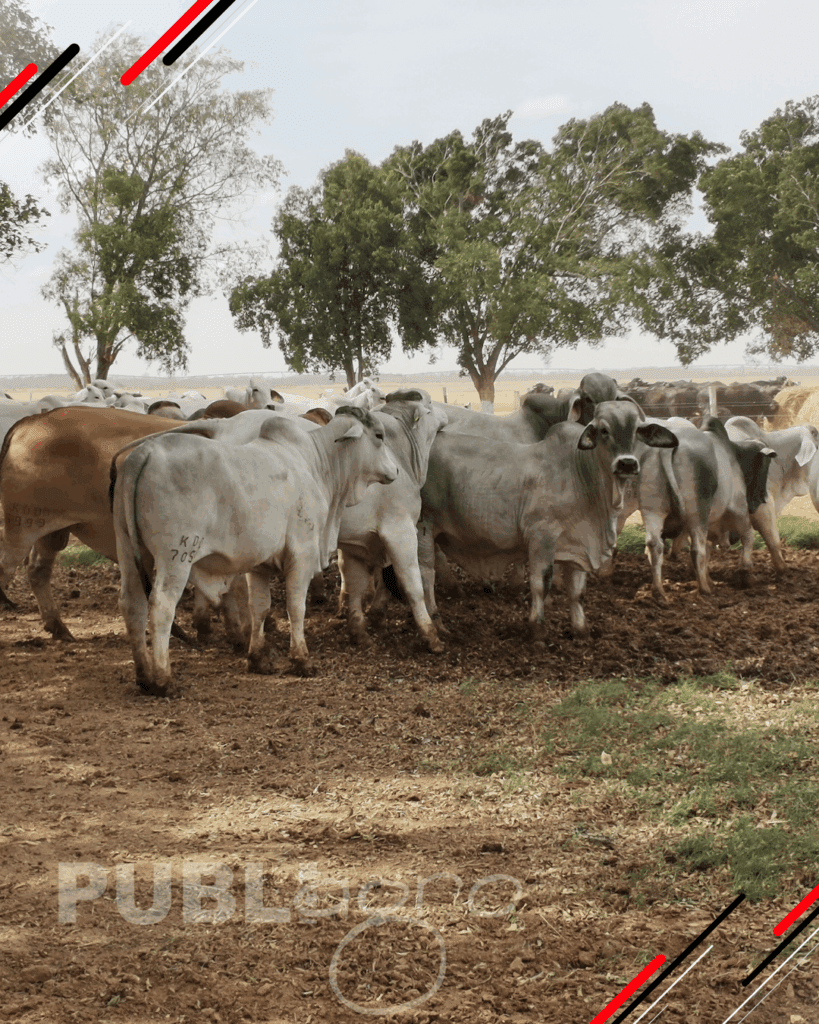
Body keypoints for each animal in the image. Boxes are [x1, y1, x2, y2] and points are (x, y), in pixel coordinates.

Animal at [112, 407, 399, 695]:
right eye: (379, 435)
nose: (396, 469)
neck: (317, 464)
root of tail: (144, 453)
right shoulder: (302, 556)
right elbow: (296, 607)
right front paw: (301, 660)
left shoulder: (259, 565)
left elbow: (259, 608)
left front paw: (258, 659)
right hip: (176, 557)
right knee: (161, 607)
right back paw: (163, 680)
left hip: (128, 550)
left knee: (132, 605)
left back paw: (144, 676)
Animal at [335, 389, 448, 651]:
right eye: (429, 402)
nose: (447, 414)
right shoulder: (400, 531)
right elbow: (413, 583)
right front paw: (430, 634)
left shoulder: (355, 543)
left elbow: (356, 583)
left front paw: (360, 630)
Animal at [416, 401, 678, 639]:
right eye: (604, 430)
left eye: (637, 430)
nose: (627, 463)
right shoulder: (541, 538)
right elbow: (541, 584)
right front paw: (537, 630)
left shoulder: (579, 544)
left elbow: (577, 592)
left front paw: (580, 630)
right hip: (423, 527)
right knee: (425, 574)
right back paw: (436, 623)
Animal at [622, 416, 778, 604]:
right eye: (766, 464)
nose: (762, 499)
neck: (732, 453)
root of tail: (668, 448)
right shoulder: (738, 507)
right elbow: (748, 537)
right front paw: (746, 573)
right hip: (697, 513)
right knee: (697, 549)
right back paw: (703, 589)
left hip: (652, 511)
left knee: (655, 546)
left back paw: (659, 592)